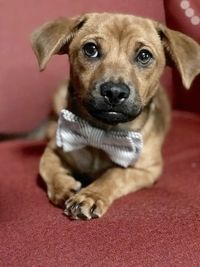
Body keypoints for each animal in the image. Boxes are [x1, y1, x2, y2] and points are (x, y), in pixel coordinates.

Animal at [31, 12, 200, 221]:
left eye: (144, 55)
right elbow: (46, 166)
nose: (114, 92)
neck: (103, 132)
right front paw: (64, 186)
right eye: (90, 49)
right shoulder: (56, 147)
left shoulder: (146, 169)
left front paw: (89, 195)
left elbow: (115, 174)